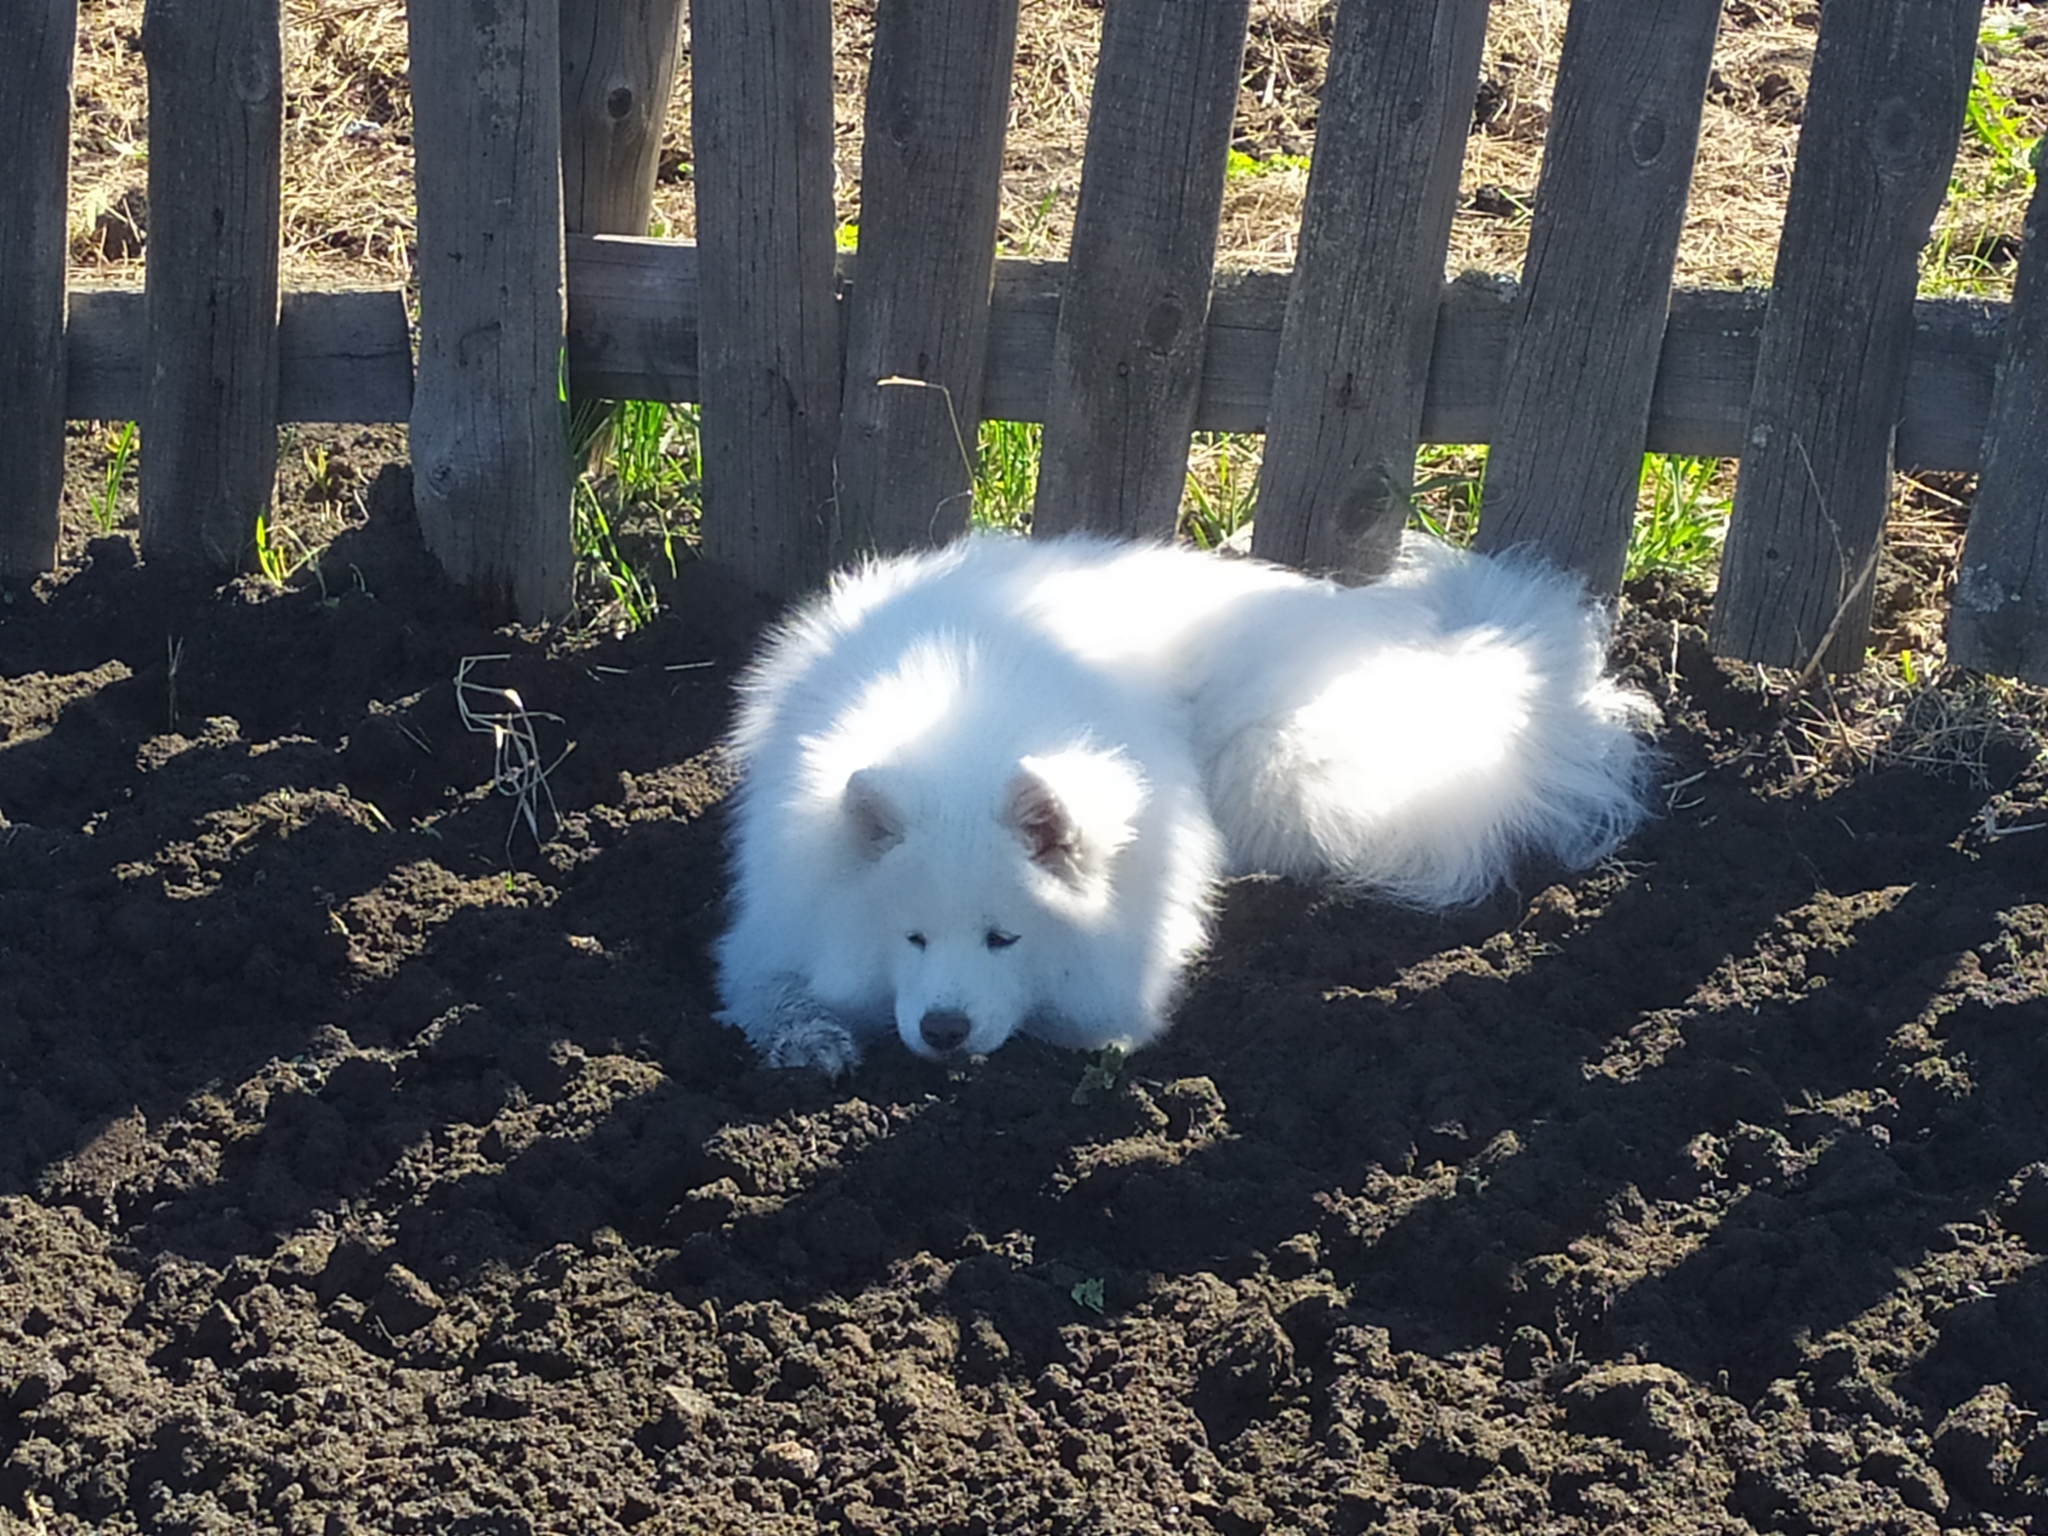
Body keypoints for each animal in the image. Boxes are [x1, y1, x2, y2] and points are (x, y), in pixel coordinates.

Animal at [712, 536, 1654, 1073]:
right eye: (909, 938)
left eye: (1003, 938)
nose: (943, 1030)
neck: (964, 724)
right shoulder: (774, 920)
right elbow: (768, 991)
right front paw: (811, 1039)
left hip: (1277, 768)